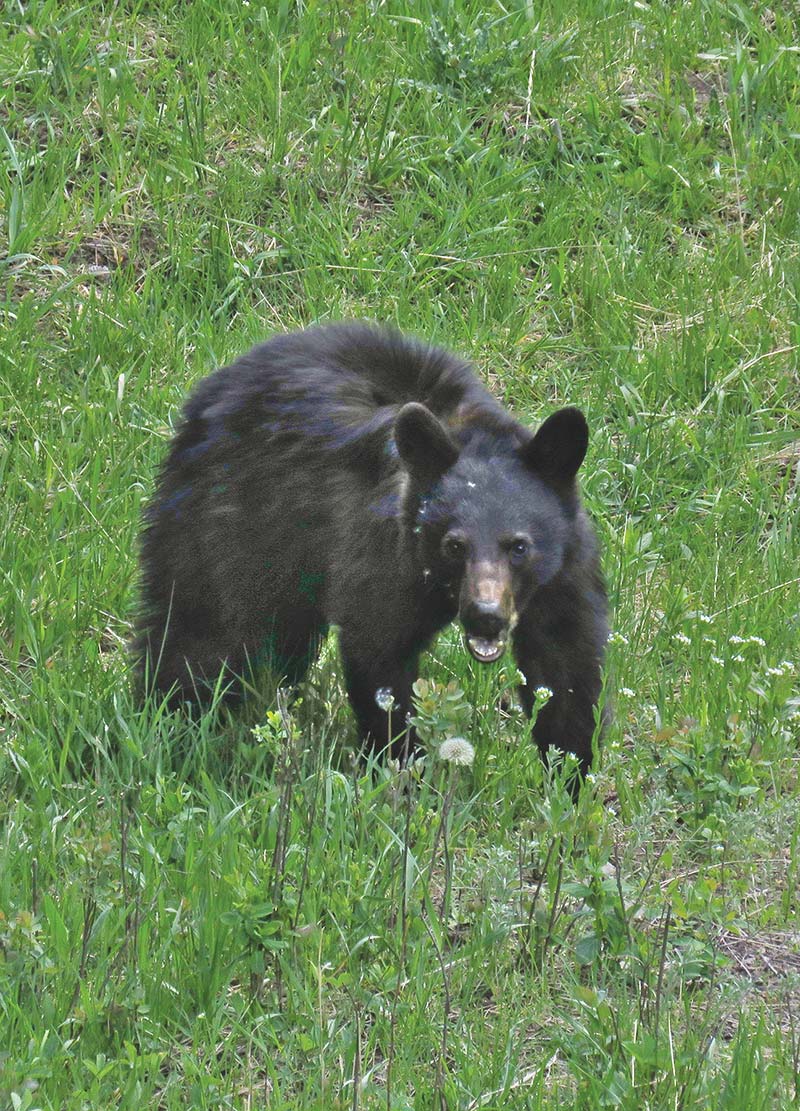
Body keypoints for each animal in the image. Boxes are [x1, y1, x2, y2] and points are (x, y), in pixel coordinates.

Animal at [136, 322, 604, 773]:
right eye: (454, 545)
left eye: (519, 547)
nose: (485, 616)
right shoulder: (386, 555)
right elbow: (380, 651)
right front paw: (400, 766)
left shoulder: (564, 573)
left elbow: (566, 668)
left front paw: (569, 774)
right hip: (233, 520)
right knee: (203, 629)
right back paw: (172, 723)